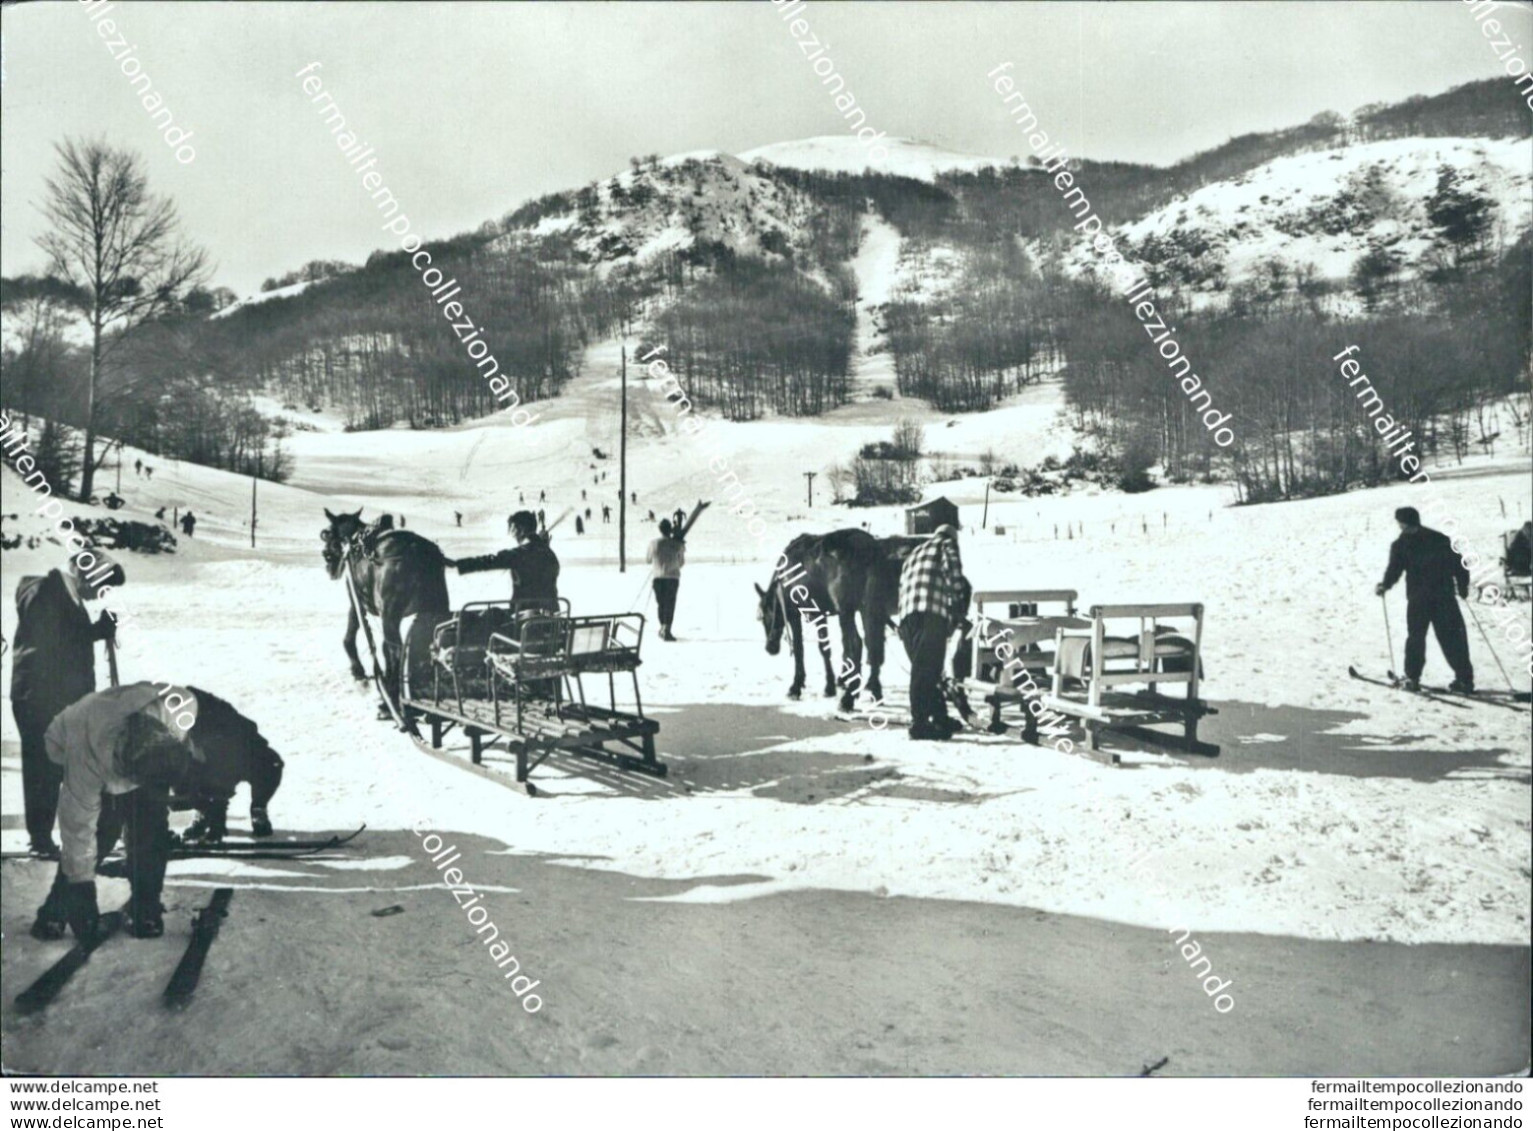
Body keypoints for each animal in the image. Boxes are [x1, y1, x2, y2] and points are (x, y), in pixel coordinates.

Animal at [754, 527, 907, 704]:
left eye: (766, 616)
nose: (770, 647)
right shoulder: (822, 613)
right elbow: (827, 648)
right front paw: (833, 684)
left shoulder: (800, 614)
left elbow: (803, 648)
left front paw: (798, 686)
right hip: (868, 608)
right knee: (873, 645)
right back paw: (874, 691)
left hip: (847, 610)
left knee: (857, 643)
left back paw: (848, 698)